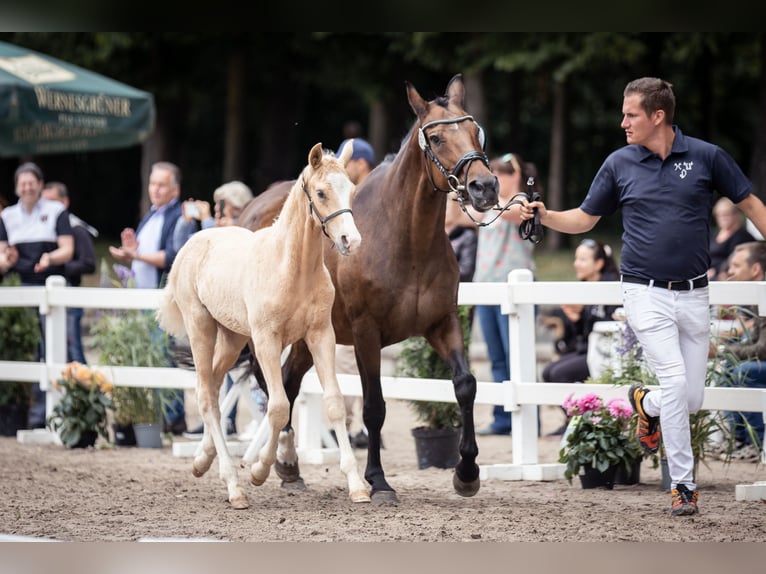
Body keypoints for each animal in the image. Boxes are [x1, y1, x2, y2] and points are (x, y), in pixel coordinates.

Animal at [158, 142, 370, 510]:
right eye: (321, 192)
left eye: (352, 190)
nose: (350, 240)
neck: (293, 269)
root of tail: (192, 244)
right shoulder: (267, 340)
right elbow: (279, 407)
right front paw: (259, 471)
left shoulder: (320, 336)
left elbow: (332, 402)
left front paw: (357, 485)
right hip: (202, 328)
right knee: (205, 395)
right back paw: (234, 487)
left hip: (232, 338)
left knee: (214, 388)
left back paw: (202, 461)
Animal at [243, 74, 500, 506]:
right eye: (436, 138)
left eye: (475, 131)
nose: (485, 187)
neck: (405, 238)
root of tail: (250, 209)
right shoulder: (366, 333)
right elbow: (375, 406)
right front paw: (377, 481)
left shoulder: (442, 323)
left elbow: (465, 386)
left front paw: (466, 473)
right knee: (271, 384)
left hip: (308, 336)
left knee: (289, 385)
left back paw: (290, 465)